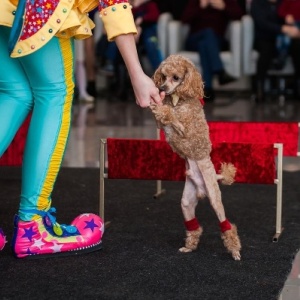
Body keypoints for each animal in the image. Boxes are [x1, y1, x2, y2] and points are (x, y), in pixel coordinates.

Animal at [149, 54, 241, 260]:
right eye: (163, 76)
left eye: (176, 78)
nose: (162, 88)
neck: (179, 100)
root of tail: (203, 189)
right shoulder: (160, 125)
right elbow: (161, 117)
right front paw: (155, 103)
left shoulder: (185, 130)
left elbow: (171, 117)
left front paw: (161, 107)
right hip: (187, 202)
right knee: (193, 226)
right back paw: (189, 246)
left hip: (215, 198)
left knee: (226, 224)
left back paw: (235, 250)